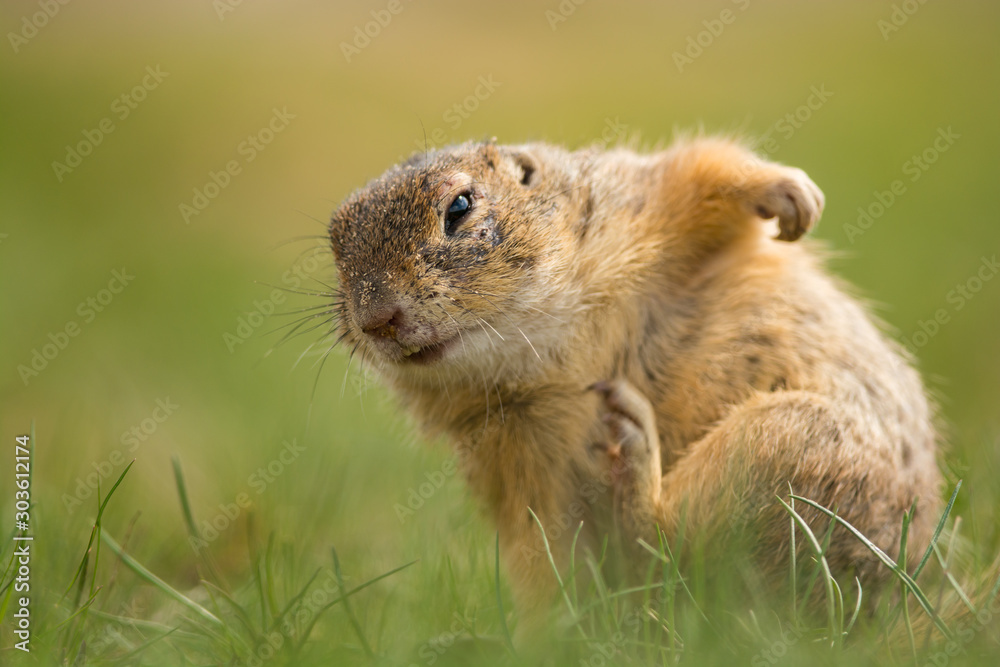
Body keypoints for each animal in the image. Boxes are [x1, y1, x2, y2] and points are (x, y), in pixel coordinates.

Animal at [326, 135, 942, 624]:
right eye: (335, 250)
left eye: (459, 206)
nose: (377, 318)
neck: (551, 353)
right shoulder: (517, 461)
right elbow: (550, 565)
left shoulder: (634, 204)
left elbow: (698, 171)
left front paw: (790, 197)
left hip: (789, 441)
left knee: (681, 551)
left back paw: (626, 449)